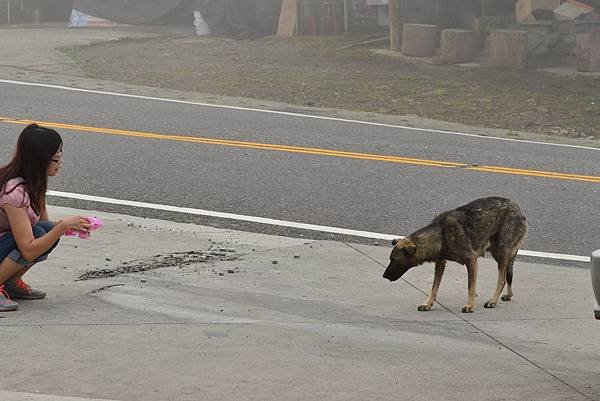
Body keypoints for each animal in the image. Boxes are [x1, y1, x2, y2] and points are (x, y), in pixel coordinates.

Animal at [384, 197, 524, 312]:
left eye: (395, 260)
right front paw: (428, 303)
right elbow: (434, 287)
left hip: (502, 253)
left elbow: (470, 286)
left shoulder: (471, 260)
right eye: (390, 259)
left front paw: (470, 305)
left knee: (502, 279)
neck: (440, 234)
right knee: (508, 275)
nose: (384, 276)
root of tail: (517, 209)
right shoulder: (440, 263)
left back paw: (493, 301)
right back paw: (508, 295)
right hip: (499, 254)